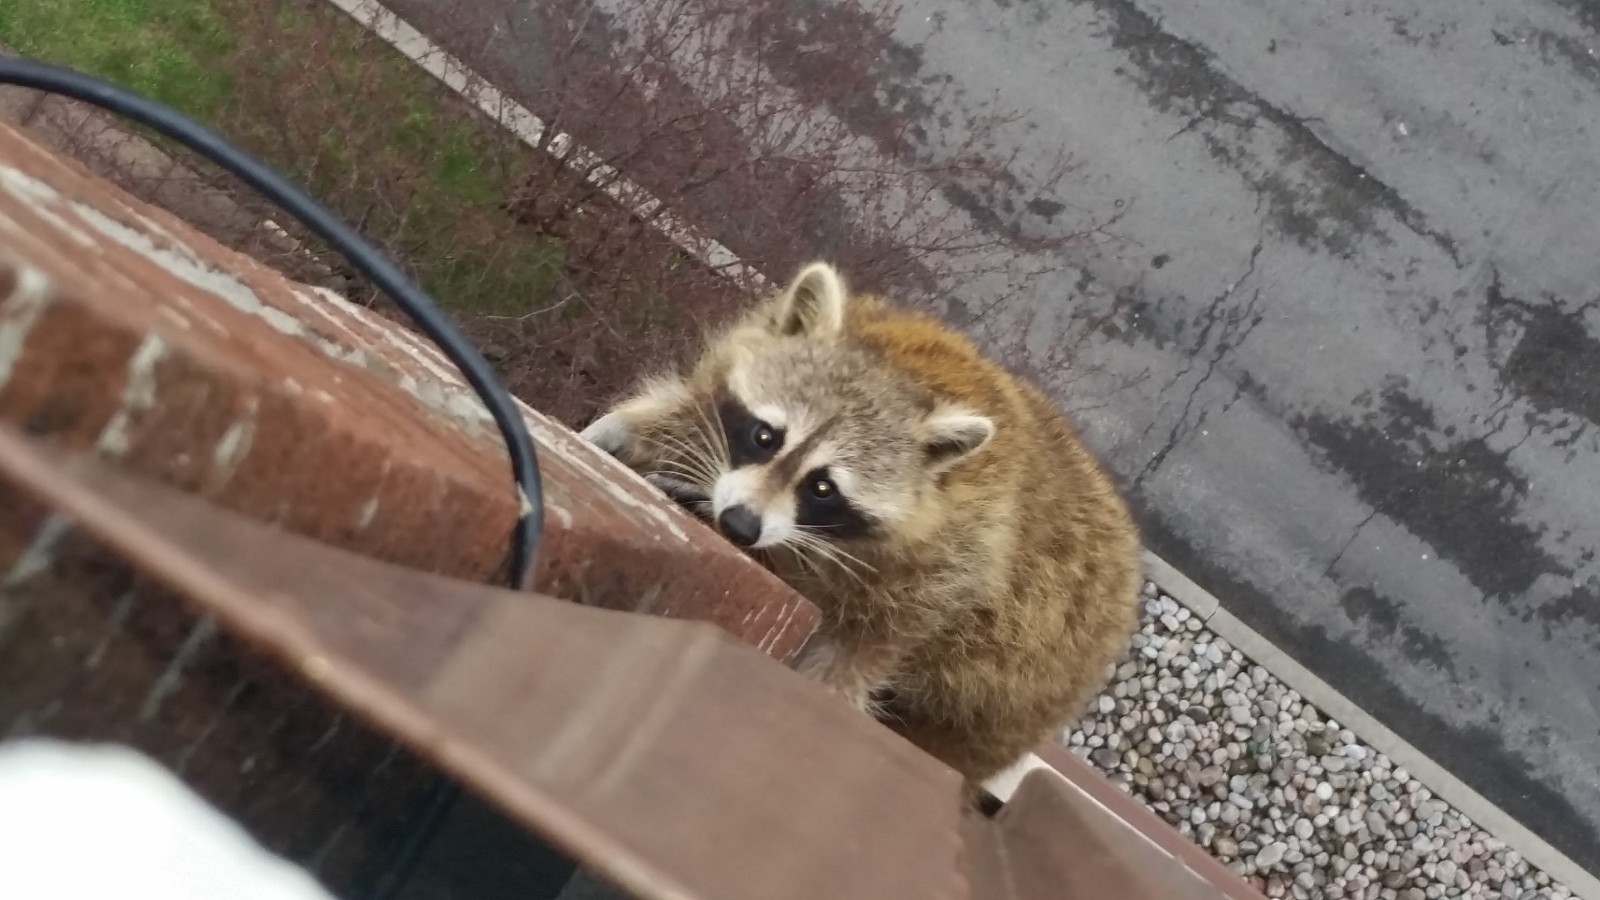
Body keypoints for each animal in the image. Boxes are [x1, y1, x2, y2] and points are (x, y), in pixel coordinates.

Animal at [580, 261, 1141, 789]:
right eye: (765, 436)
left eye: (823, 488)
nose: (740, 525)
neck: (911, 368)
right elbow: (683, 415)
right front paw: (627, 430)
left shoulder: (942, 577)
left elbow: (849, 659)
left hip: (994, 706)